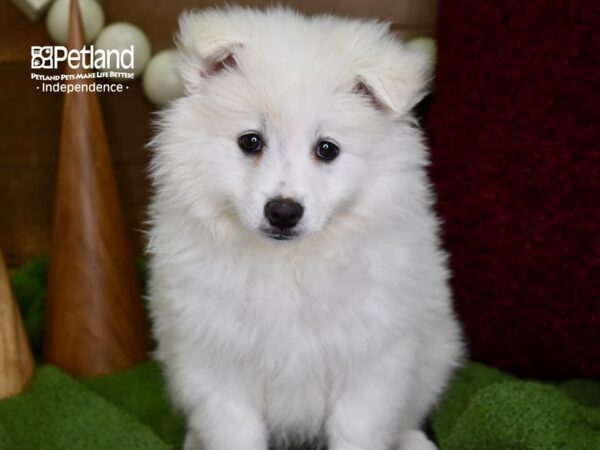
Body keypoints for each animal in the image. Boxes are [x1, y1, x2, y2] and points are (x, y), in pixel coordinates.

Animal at [149, 7, 464, 450]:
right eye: (250, 141)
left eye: (327, 149)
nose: (283, 212)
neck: (288, 263)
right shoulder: (214, 360)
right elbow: (233, 431)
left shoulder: (372, 362)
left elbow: (357, 432)